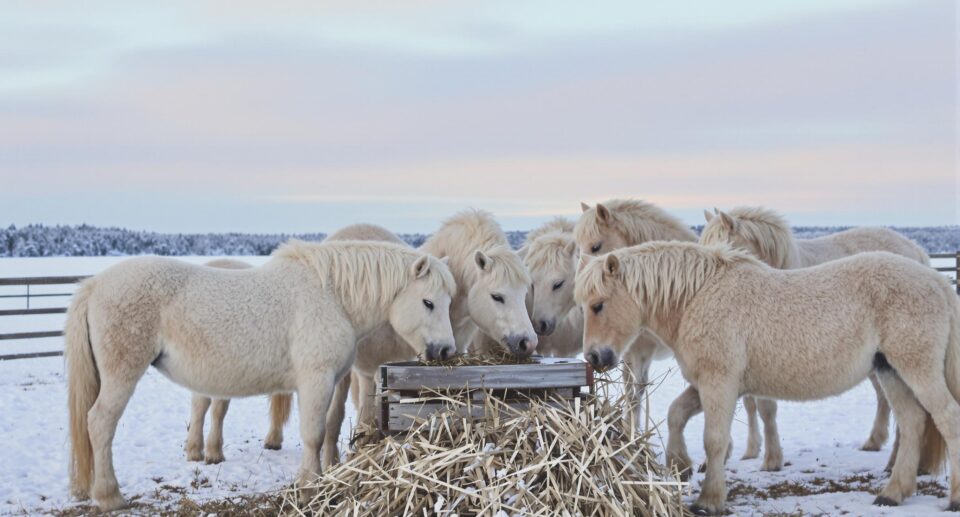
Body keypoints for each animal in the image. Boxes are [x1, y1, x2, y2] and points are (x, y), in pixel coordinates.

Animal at [575, 241, 960, 515]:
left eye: (598, 305)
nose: (594, 357)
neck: (697, 298)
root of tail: (938, 282)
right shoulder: (707, 384)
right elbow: (676, 414)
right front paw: (680, 465)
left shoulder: (719, 384)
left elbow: (714, 440)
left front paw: (709, 500)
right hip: (890, 370)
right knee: (912, 423)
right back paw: (894, 493)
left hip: (916, 368)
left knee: (946, 418)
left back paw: (952, 498)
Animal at [686, 206, 932, 472]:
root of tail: (914, 249)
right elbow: (749, 405)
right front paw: (748, 451)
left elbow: (765, 408)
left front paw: (771, 460)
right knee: (884, 397)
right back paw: (875, 443)